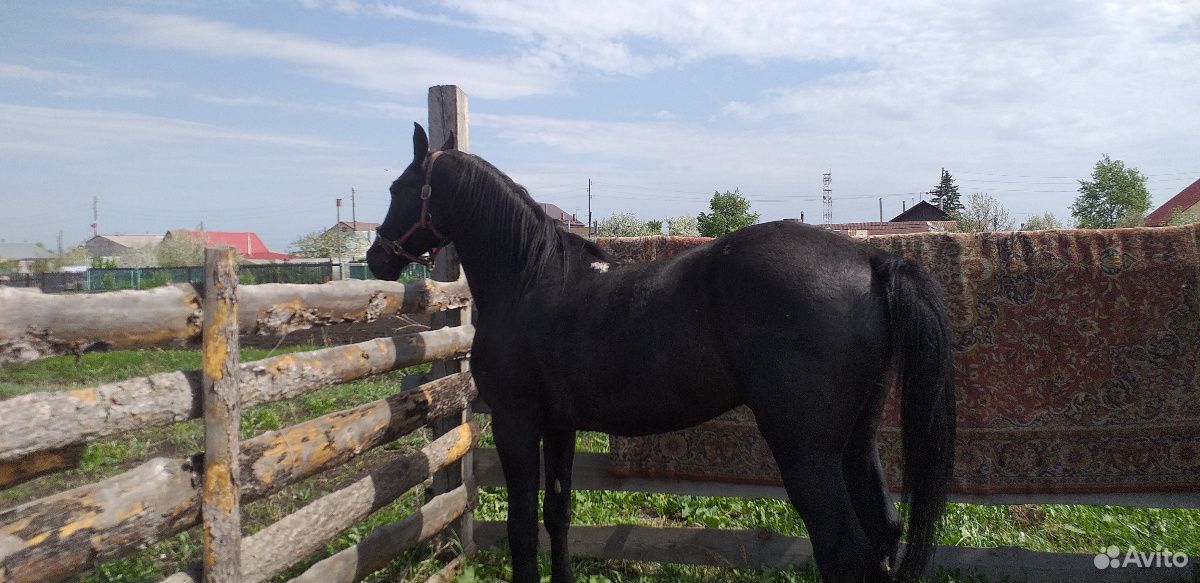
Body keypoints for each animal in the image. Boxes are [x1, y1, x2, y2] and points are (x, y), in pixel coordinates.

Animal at [364, 122, 955, 583]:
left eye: (399, 187)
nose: (375, 258)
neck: (531, 279)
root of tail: (871, 260)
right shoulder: (560, 425)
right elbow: (557, 514)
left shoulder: (516, 422)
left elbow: (522, 531)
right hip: (857, 440)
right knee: (883, 534)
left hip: (806, 451)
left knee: (844, 553)